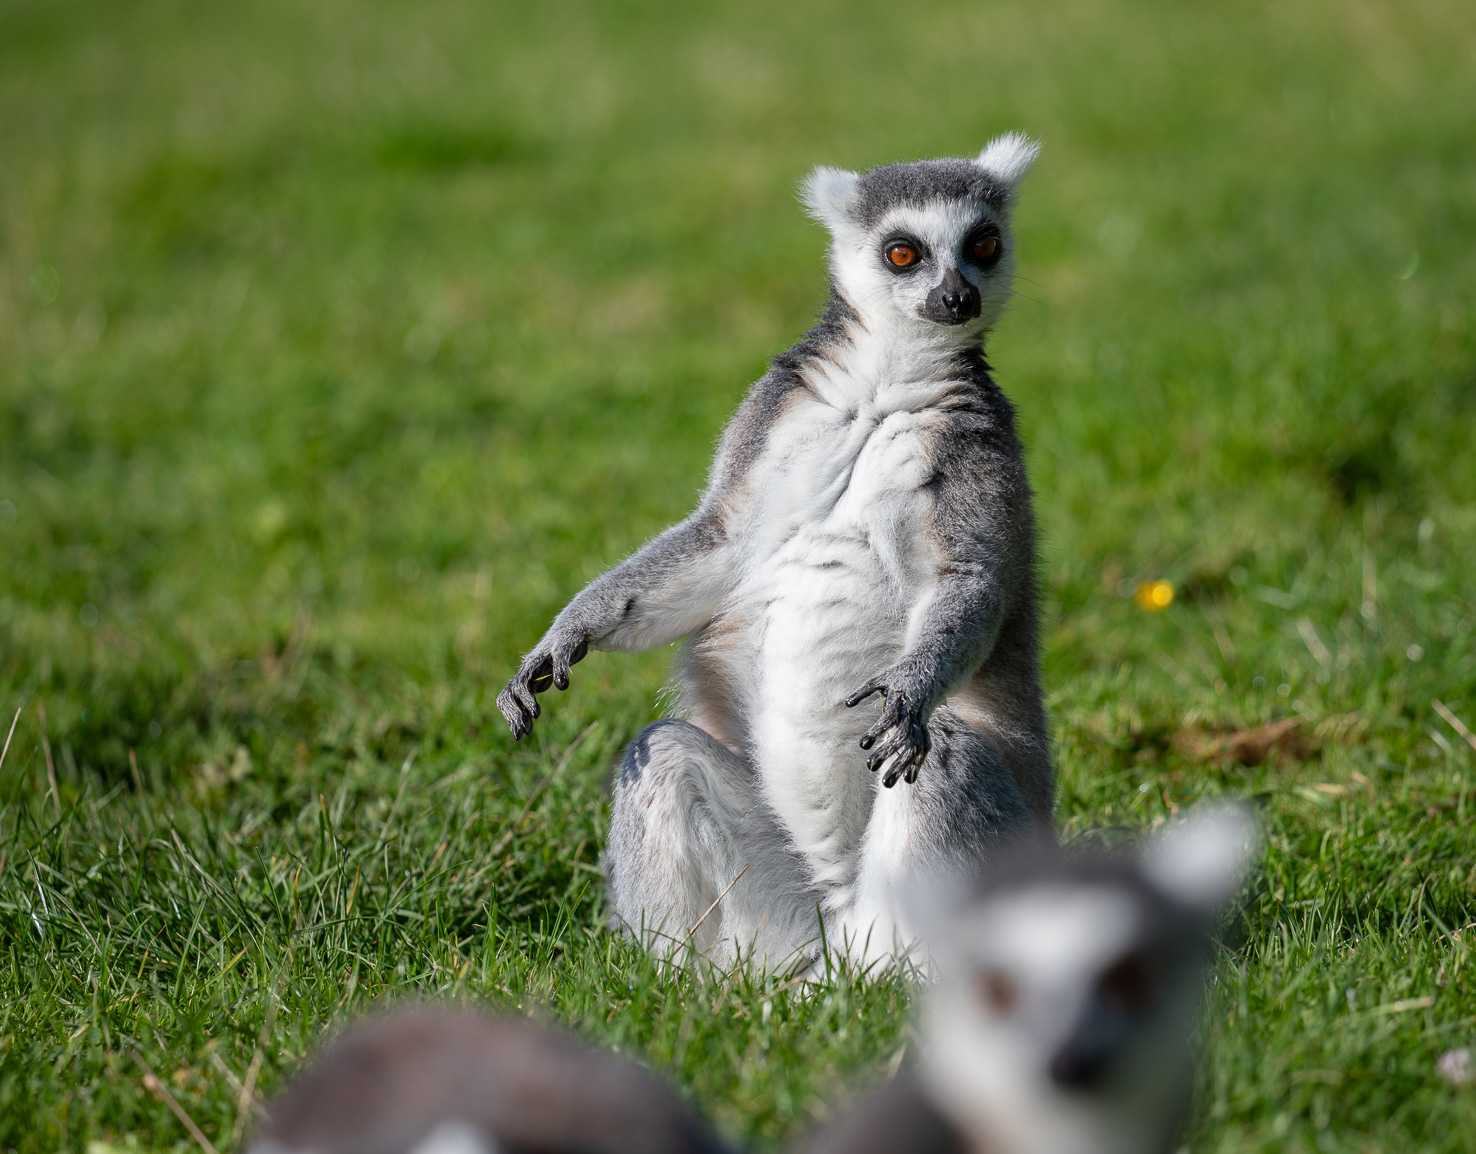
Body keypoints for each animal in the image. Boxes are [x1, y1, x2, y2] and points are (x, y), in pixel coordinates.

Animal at [497, 134, 1052, 970]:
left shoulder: (979, 449)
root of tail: (839, 945)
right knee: (660, 752)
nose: (958, 299)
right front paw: (569, 631)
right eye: (903, 252)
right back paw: (678, 985)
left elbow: (974, 578)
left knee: (939, 752)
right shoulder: (775, 413)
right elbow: (718, 545)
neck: (887, 378)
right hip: (774, 915)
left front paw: (912, 687)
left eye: (982, 244)